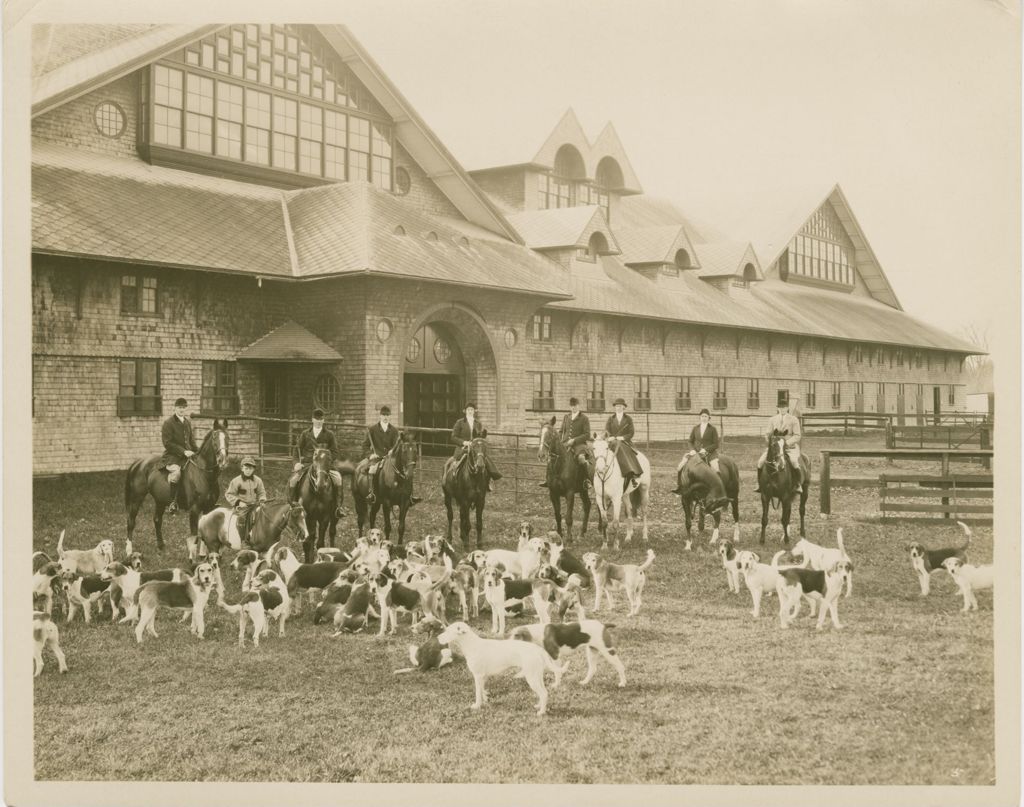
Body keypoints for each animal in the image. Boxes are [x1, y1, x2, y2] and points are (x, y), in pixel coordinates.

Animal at [123, 415, 228, 561]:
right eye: (214, 438)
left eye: (227, 437)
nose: (222, 460)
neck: (203, 473)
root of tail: (138, 463)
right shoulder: (194, 509)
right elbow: (194, 534)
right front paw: (193, 558)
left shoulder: (208, 507)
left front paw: (204, 555)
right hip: (136, 498)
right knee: (131, 522)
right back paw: (129, 551)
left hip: (160, 500)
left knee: (157, 519)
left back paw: (161, 546)